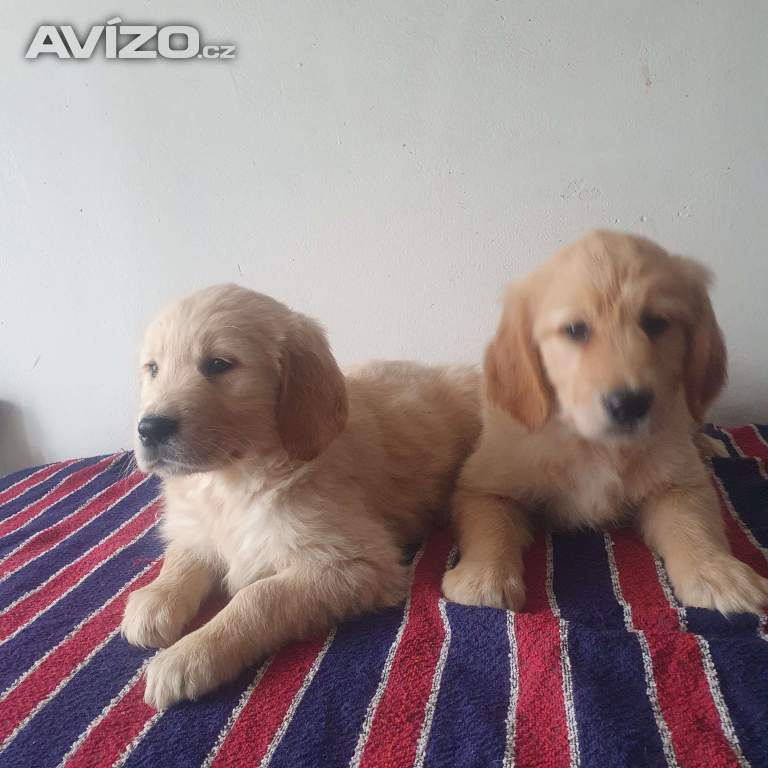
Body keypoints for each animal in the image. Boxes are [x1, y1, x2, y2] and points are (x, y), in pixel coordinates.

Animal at [120, 284, 480, 709]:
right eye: (153, 369)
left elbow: (259, 596)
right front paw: (155, 598)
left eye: (218, 364)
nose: (149, 428)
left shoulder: (356, 562)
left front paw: (190, 655)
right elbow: (183, 555)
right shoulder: (198, 522)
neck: (232, 482)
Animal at [442, 230, 768, 615]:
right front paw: (483, 579)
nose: (629, 404)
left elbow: (695, 524)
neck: (594, 444)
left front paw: (718, 574)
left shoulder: (679, 482)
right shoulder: (484, 484)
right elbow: (490, 526)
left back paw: (707, 444)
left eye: (656, 323)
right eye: (574, 329)